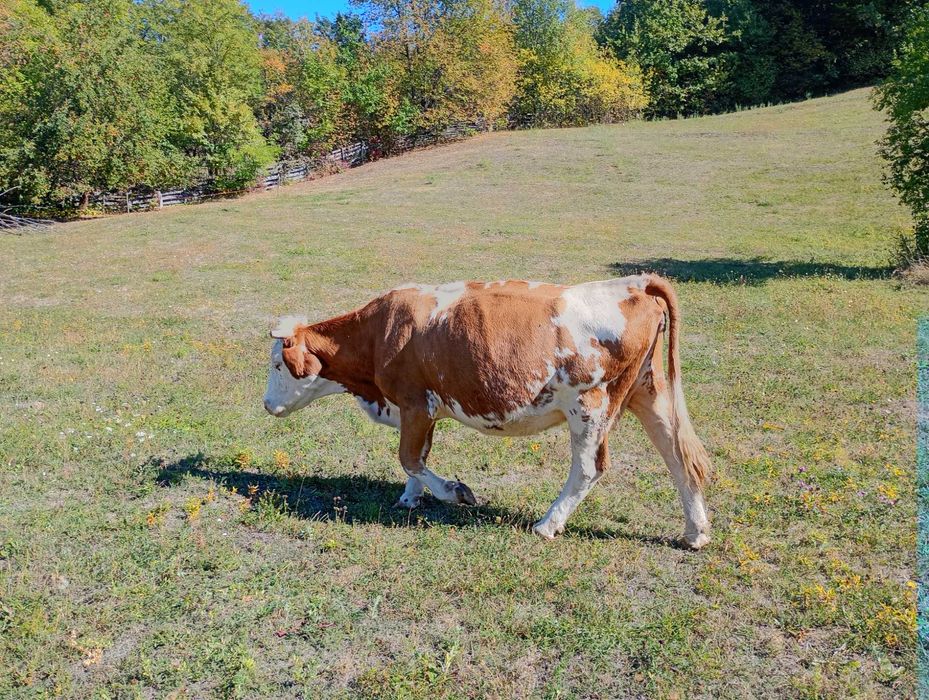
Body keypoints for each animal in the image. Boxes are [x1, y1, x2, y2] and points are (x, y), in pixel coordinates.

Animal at [263, 275, 712, 548]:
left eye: (277, 364)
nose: (267, 405)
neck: (380, 335)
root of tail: (635, 282)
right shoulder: (420, 410)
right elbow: (416, 458)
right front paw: (410, 497)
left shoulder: (415, 402)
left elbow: (409, 457)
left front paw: (454, 492)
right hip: (648, 393)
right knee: (678, 456)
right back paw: (695, 532)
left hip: (590, 405)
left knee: (589, 468)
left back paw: (547, 524)